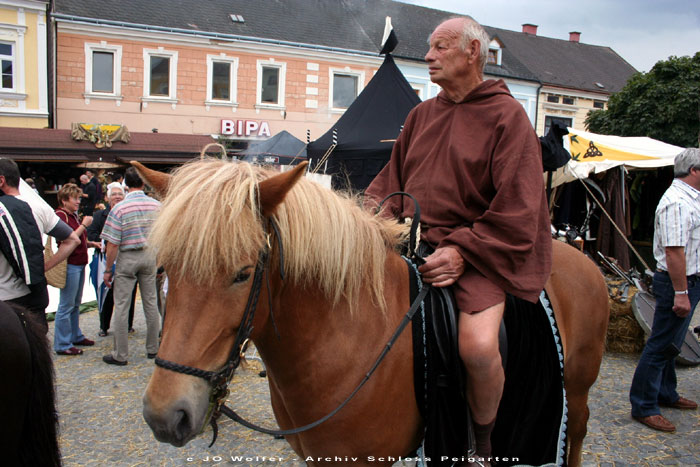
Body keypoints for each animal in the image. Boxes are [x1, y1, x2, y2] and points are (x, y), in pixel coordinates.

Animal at [135, 159, 608, 466]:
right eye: (166, 268)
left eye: (243, 273)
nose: (165, 415)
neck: (346, 338)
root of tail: (583, 259)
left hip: (577, 392)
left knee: (576, 433)